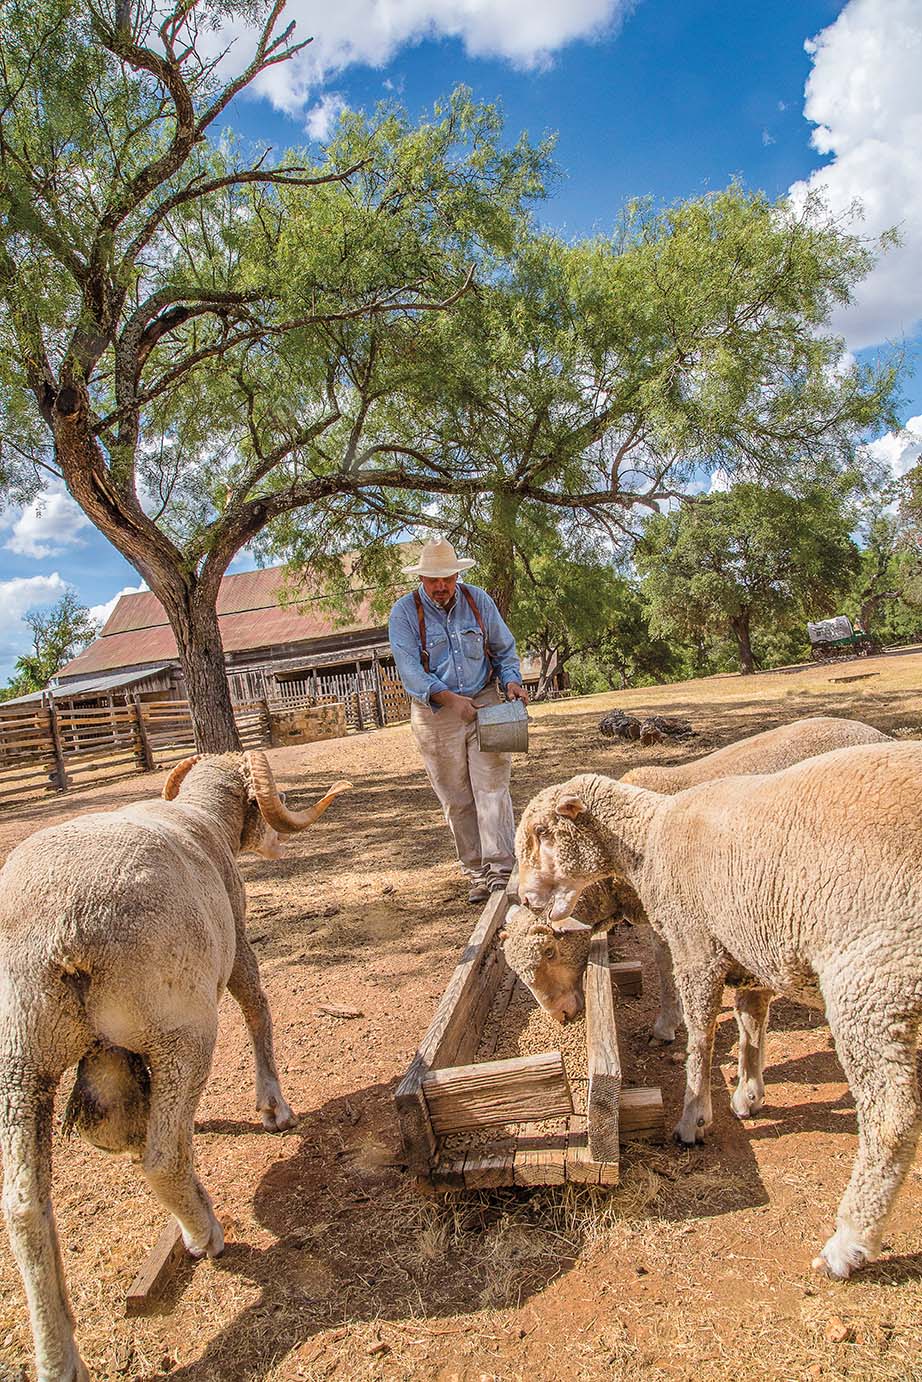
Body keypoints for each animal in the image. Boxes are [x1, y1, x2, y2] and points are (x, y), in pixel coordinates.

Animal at [0, 757, 349, 1382]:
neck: (199, 814)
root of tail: (61, 930)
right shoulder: (237, 937)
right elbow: (257, 1006)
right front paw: (274, 1107)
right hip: (181, 1028)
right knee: (161, 1158)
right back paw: (203, 1232)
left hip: (22, 1056)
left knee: (24, 1203)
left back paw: (60, 1357)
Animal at [516, 740, 922, 1276]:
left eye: (543, 833)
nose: (524, 898)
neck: (648, 838)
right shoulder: (752, 947)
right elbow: (751, 1025)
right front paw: (748, 1094)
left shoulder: (696, 946)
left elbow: (701, 1038)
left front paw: (693, 1116)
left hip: (872, 980)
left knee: (892, 1118)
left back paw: (849, 1241)